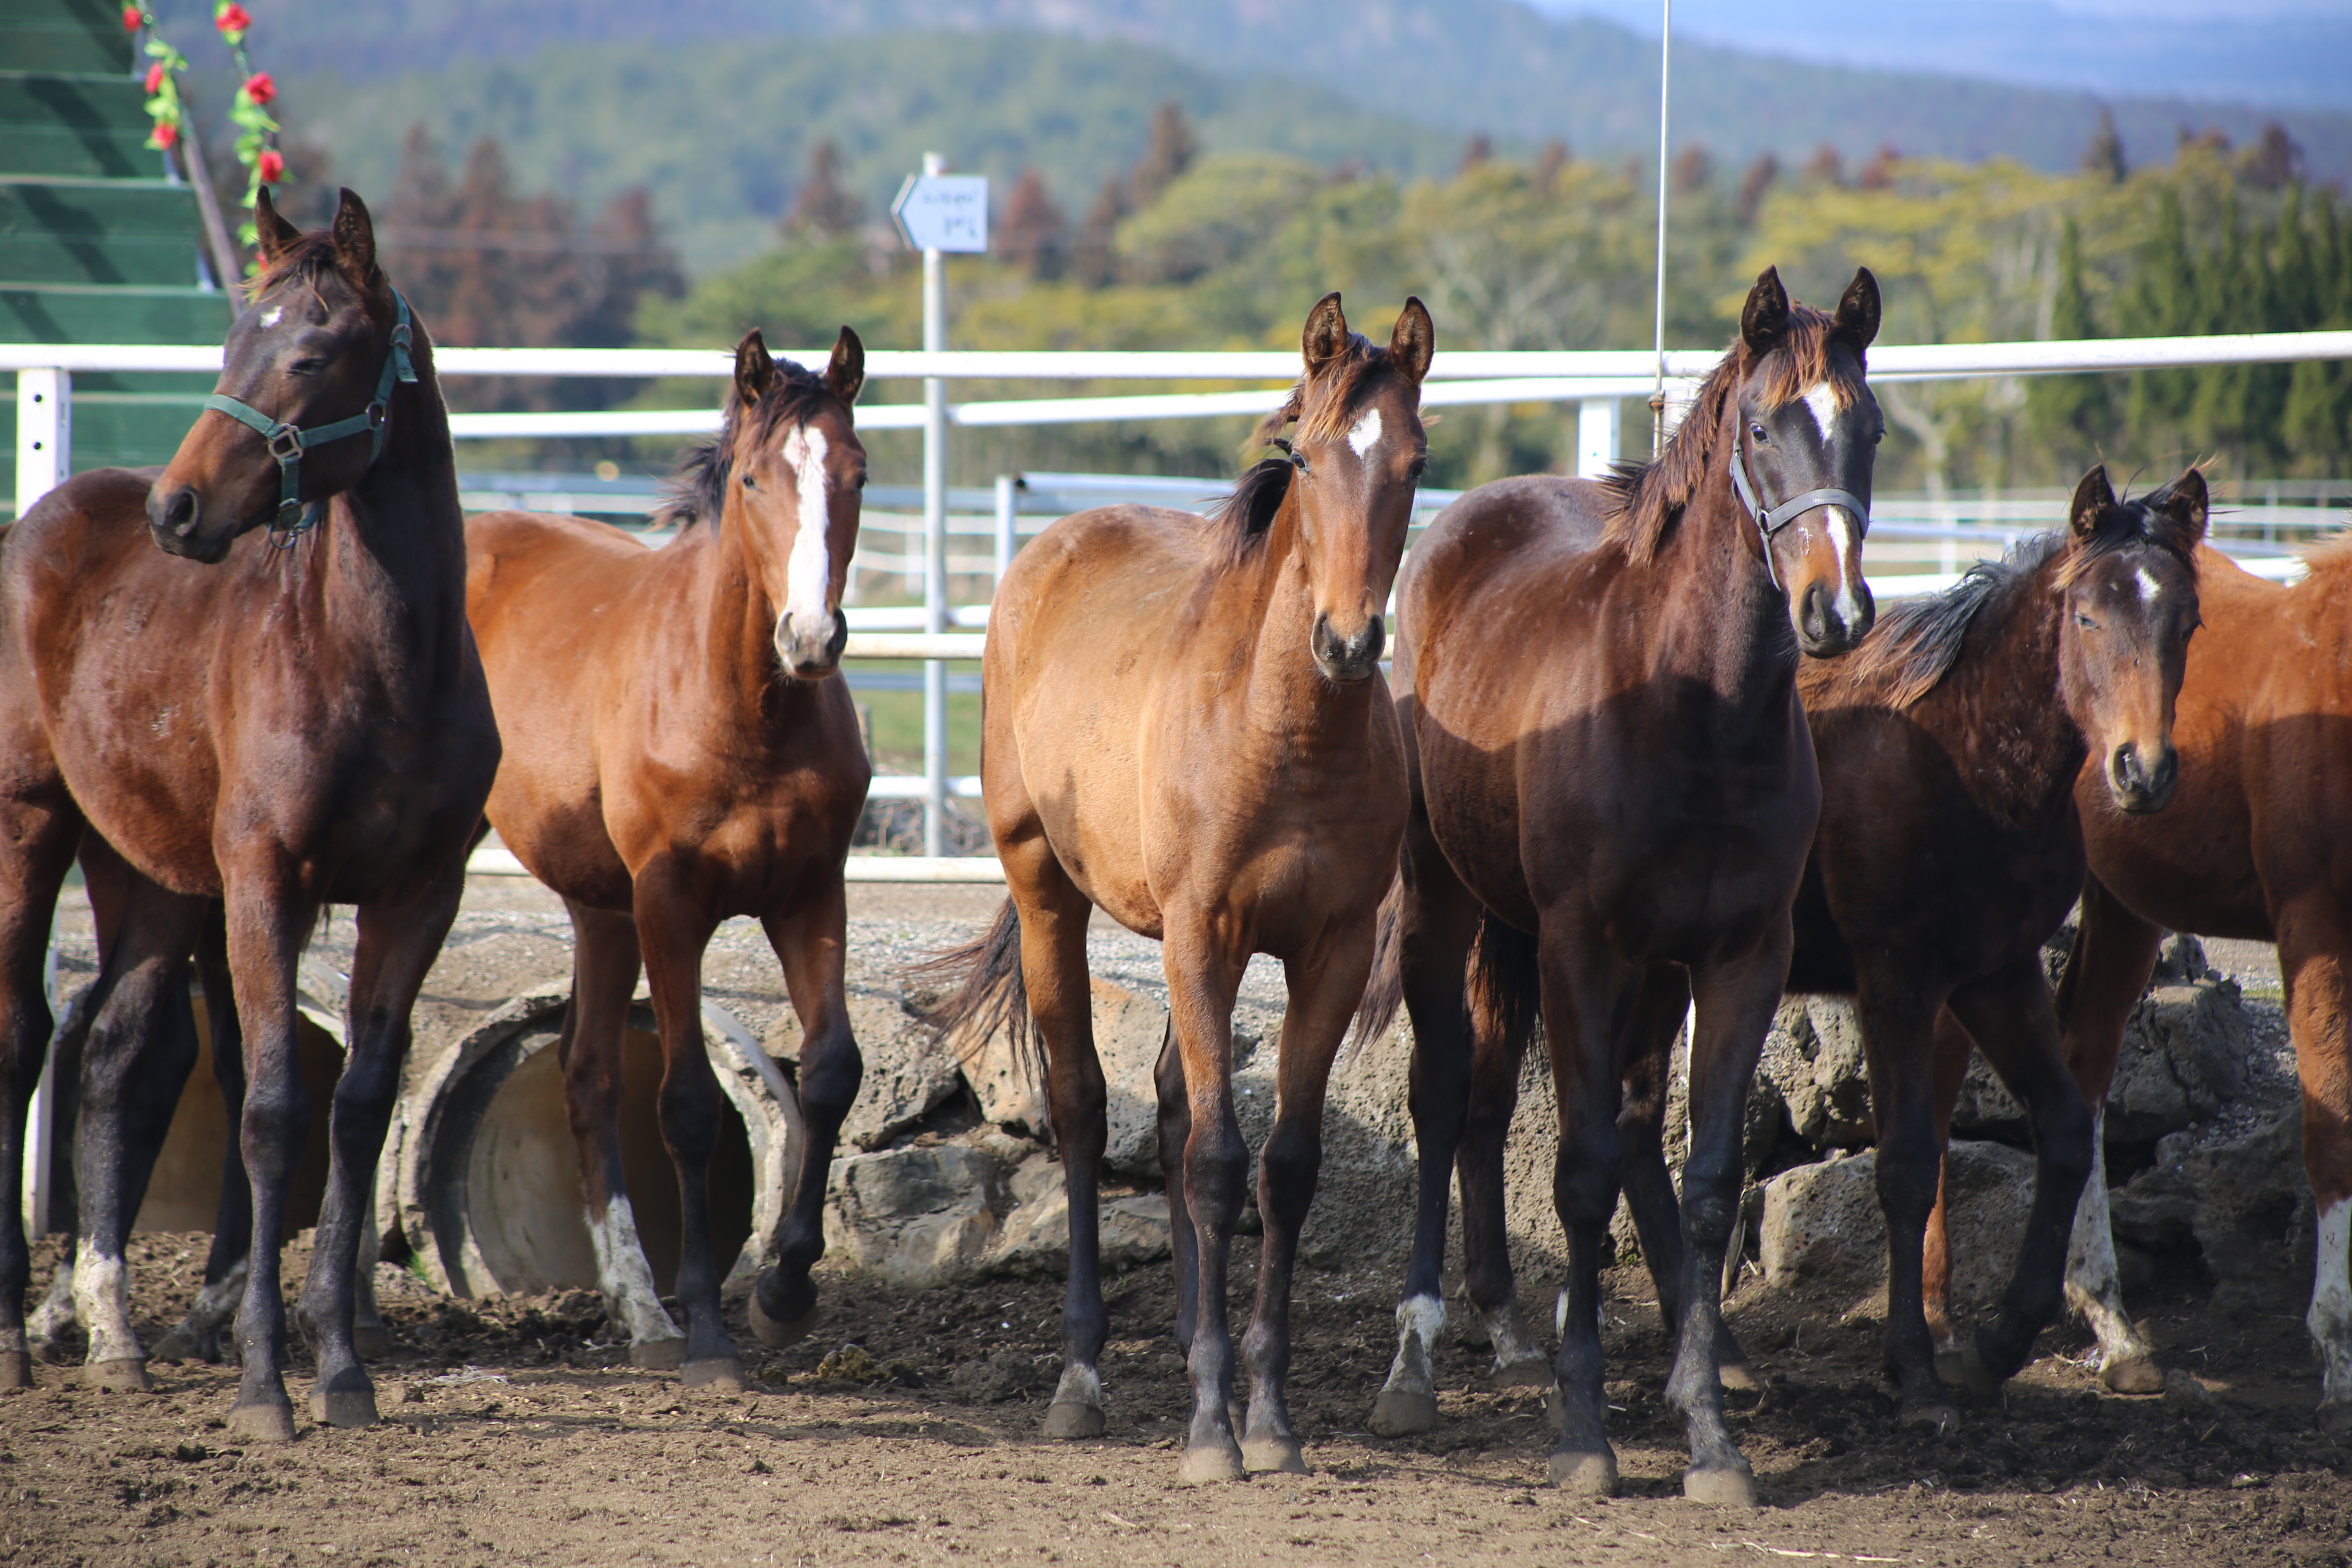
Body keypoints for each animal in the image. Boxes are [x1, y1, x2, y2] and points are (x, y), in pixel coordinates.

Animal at [0, 190, 496, 1439]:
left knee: (118, 1051)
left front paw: (344, 1371)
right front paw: (269, 1380)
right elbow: (272, 1109)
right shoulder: (268, 880)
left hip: (153, 874)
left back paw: (117, 1337)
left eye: (311, 355)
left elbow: (357, 1108)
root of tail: (42, 519)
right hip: (31, 828)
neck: (383, 662)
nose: (178, 510)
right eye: (231, 344)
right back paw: (21, 1340)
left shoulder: (418, 894)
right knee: (26, 1037)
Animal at [463, 324, 870, 1382]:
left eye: (855, 472)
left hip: (598, 909)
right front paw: (713, 1336)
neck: (741, 707)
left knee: (585, 1071)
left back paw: (641, 1311)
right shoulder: (670, 903)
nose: (811, 638)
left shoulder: (810, 894)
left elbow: (831, 1072)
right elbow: (688, 1102)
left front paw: (782, 1292)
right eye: (756, 481)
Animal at [922, 291, 1430, 1486]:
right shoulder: (1204, 934)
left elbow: (1280, 1167)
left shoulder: (1329, 950)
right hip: (1053, 897)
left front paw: (1268, 1416)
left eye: (1416, 463)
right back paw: (1081, 1378)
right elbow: (1214, 1163)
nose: (1350, 641)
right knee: (1083, 1108)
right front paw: (1210, 1428)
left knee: (1165, 1111)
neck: (1284, 727)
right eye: (1308, 453)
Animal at [1364, 263, 1872, 1504]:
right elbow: (1582, 1172)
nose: (1836, 612)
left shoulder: (1739, 958)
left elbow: (1708, 1179)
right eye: (1759, 427)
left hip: (1607, 956)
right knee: (1445, 1095)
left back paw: (1518, 1327)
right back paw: (1417, 1362)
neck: (1691, 710)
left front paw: (1710, 1438)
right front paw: (1584, 1434)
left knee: (1525, 1107)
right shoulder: (1579, 948)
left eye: (1870, 427)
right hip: (1450, 903)